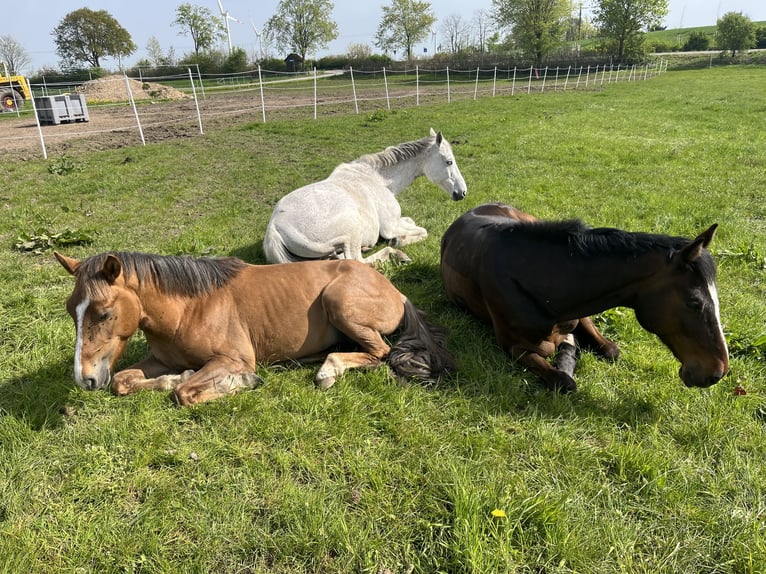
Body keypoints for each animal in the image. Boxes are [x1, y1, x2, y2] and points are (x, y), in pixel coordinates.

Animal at [55, 251, 455, 405]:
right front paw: (175, 376)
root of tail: (396, 291)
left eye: (104, 313)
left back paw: (328, 371)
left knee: (381, 353)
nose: (85, 378)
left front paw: (241, 383)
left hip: (339, 302)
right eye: (71, 311)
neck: (189, 308)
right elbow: (124, 382)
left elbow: (185, 393)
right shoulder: (160, 360)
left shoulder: (233, 360)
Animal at [263, 128, 467, 265]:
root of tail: (275, 227)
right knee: (356, 261)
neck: (379, 180)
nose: (462, 192)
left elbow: (411, 221)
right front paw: (398, 241)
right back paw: (395, 253)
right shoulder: (390, 226)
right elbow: (422, 231)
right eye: (449, 162)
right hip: (351, 232)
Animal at [440, 203, 729, 392]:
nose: (717, 372)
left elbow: (608, 349)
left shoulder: (578, 317)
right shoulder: (515, 347)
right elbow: (564, 380)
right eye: (694, 302)